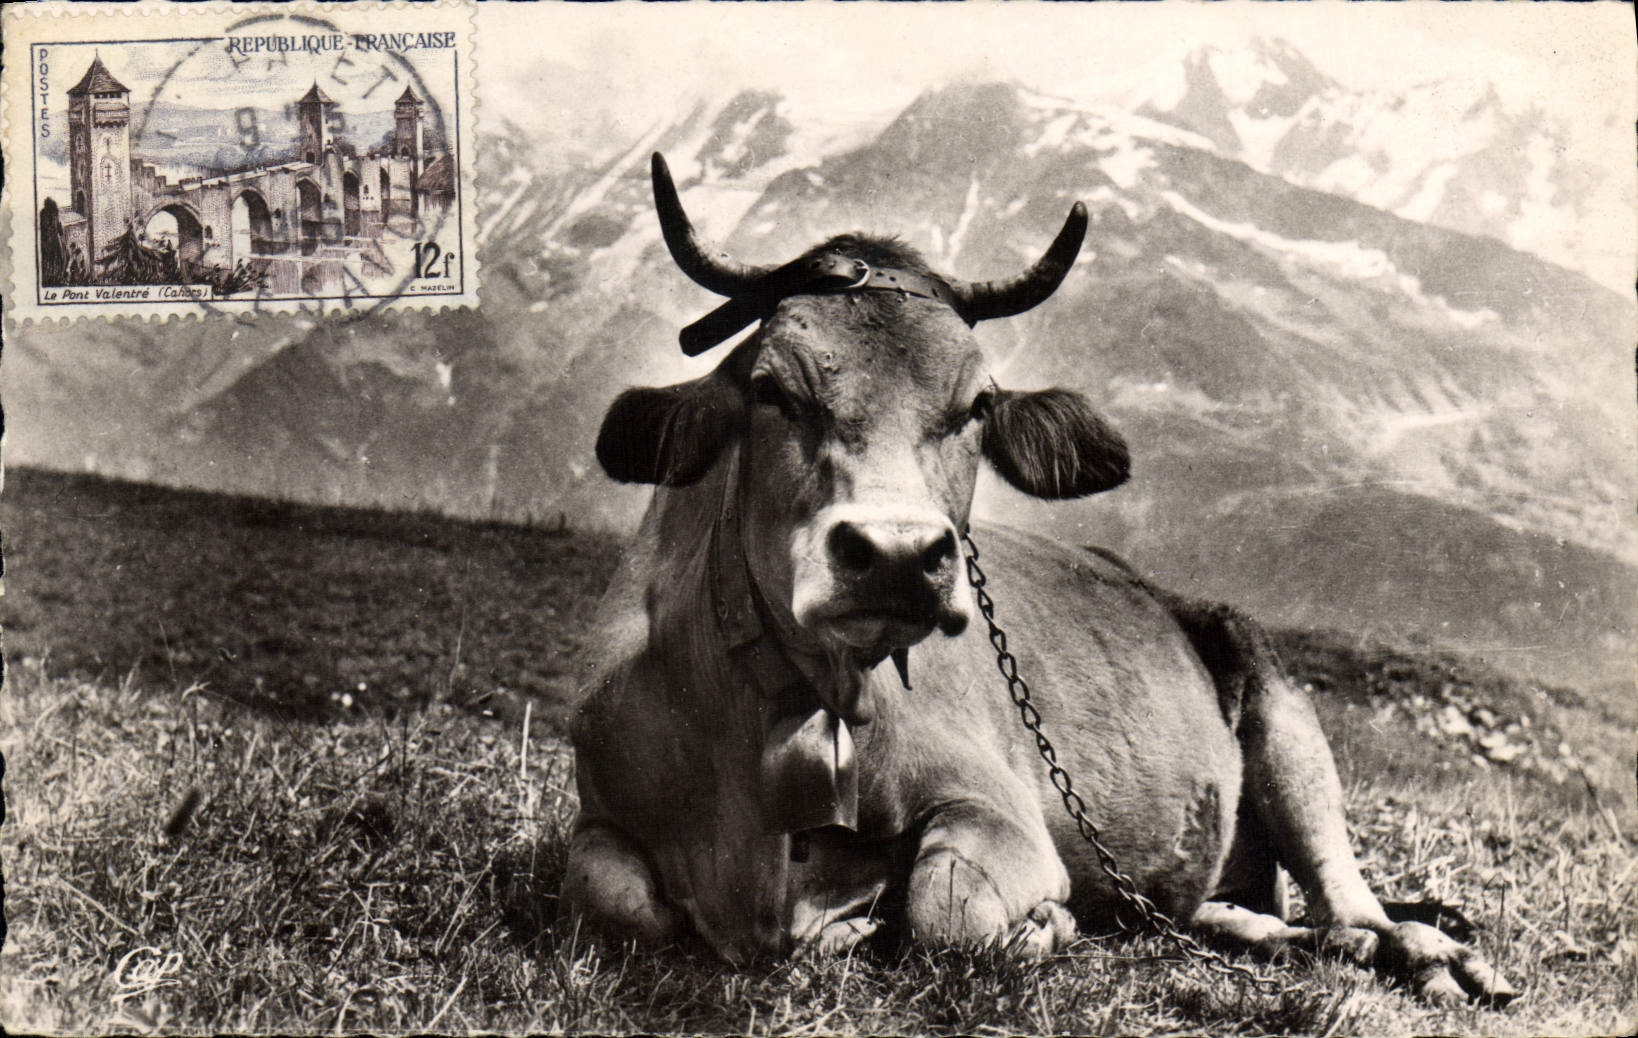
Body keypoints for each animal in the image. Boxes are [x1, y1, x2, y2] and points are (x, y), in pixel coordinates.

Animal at [560, 152, 1515, 1004]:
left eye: (977, 405)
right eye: (770, 389)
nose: (898, 555)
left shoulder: (998, 806)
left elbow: (944, 907)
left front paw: (1036, 927)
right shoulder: (601, 814)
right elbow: (612, 893)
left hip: (1286, 717)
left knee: (1356, 907)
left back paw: (1434, 959)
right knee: (1241, 917)